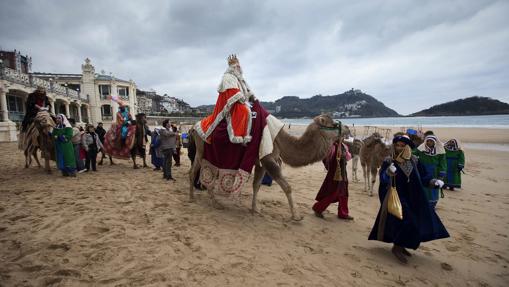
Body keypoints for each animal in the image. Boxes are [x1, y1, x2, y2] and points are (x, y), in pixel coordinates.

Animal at [187, 115, 350, 220]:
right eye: (334, 124)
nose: (348, 128)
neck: (281, 141)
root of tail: (194, 127)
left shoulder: (261, 162)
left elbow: (257, 185)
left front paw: (255, 209)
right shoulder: (268, 159)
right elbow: (287, 187)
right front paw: (296, 216)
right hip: (202, 150)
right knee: (197, 171)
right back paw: (201, 200)